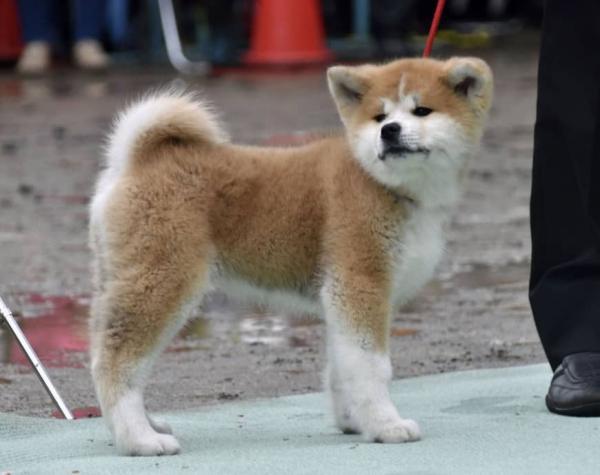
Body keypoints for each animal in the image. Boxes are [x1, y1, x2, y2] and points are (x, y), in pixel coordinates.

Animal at [89, 56, 493, 456]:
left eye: (421, 111)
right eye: (380, 117)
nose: (389, 131)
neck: (381, 182)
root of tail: (137, 161)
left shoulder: (345, 298)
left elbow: (342, 368)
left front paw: (352, 421)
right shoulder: (360, 285)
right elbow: (372, 367)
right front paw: (385, 425)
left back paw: (143, 425)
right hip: (164, 281)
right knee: (117, 362)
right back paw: (139, 439)